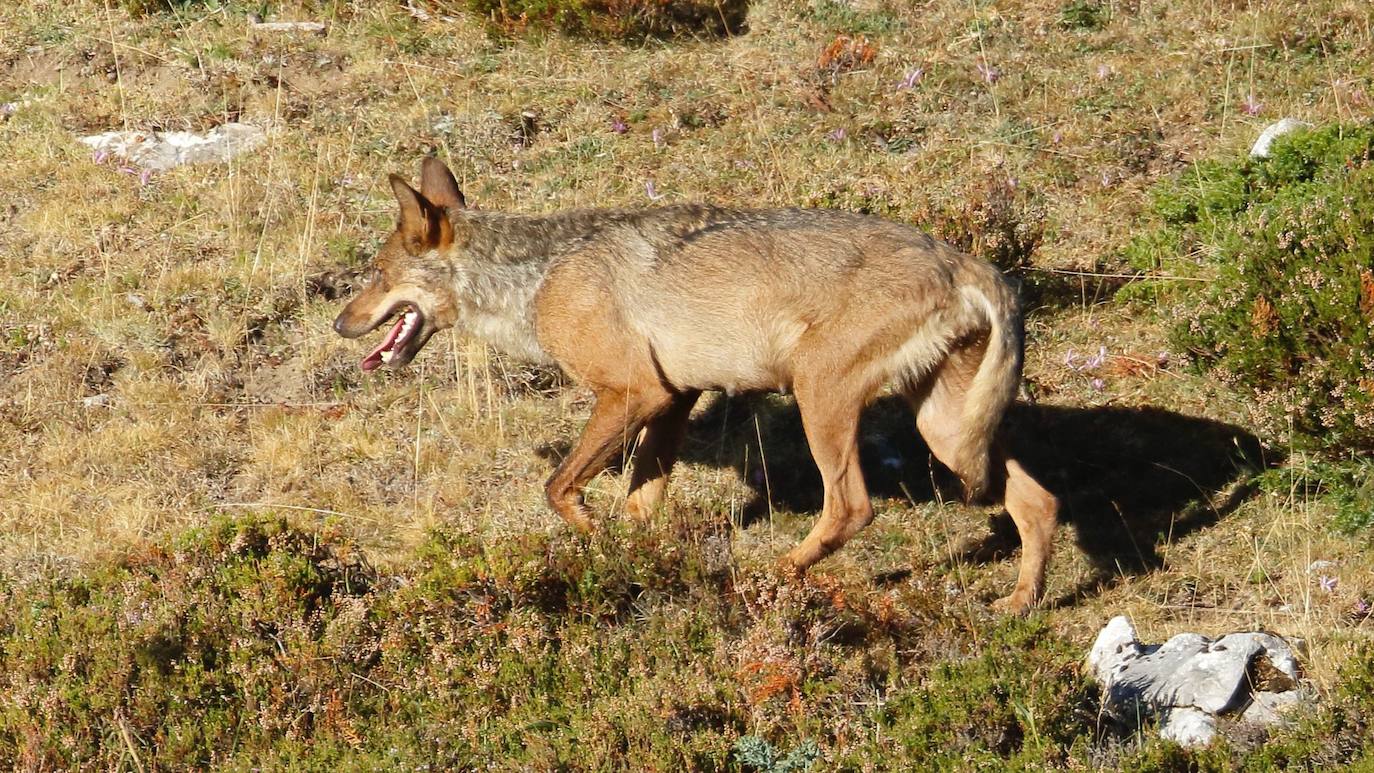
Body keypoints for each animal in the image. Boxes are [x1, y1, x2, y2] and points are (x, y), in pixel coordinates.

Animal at [335, 158, 1060, 617]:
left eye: (374, 274)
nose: (338, 323)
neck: (537, 275)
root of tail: (966, 261)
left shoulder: (635, 393)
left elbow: (558, 488)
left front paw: (596, 536)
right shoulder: (675, 399)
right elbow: (639, 502)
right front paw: (634, 560)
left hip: (822, 397)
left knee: (852, 508)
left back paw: (777, 576)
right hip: (945, 430)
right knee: (1038, 500)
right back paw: (1020, 602)